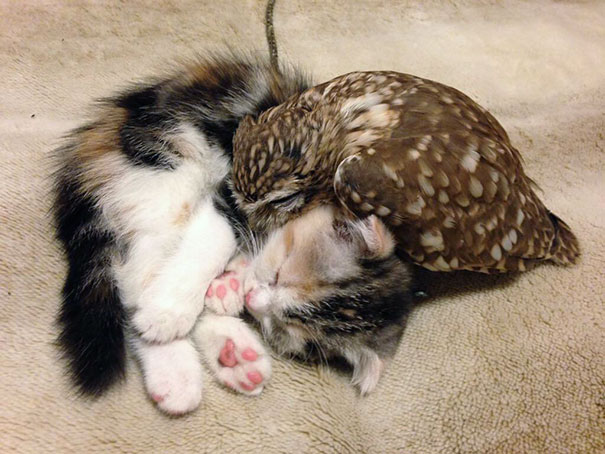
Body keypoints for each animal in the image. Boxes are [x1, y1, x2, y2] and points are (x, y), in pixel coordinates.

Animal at [52, 54, 310, 414]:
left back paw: (233, 355)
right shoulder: (240, 185)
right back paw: (172, 358)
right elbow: (217, 238)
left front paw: (232, 283)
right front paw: (171, 309)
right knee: (135, 279)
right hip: (170, 167)